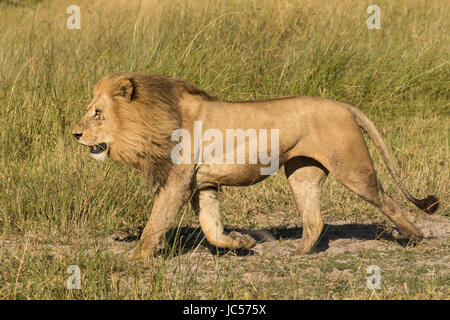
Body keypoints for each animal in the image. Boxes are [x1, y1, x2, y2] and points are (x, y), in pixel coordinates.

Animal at [73, 72, 440, 260]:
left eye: (97, 113)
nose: (75, 133)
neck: (152, 118)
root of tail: (344, 105)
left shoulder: (177, 181)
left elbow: (155, 222)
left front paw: (136, 259)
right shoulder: (202, 183)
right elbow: (211, 225)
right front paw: (242, 244)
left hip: (352, 167)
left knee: (387, 200)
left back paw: (413, 237)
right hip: (301, 173)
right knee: (315, 219)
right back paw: (299, 254)